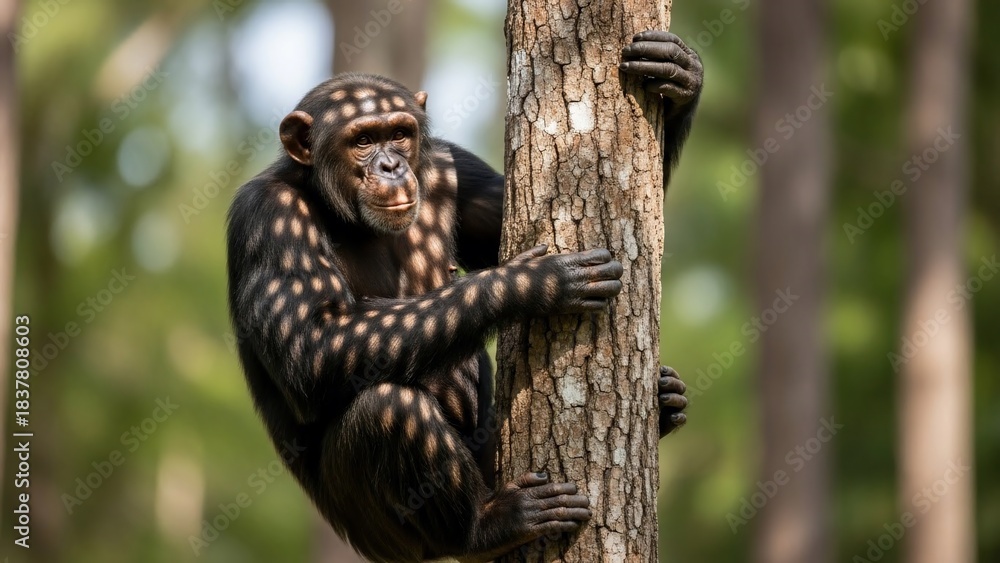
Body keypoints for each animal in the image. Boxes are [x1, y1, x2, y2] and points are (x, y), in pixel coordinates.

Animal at [226, 31, 701, 563]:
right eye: (362, 140)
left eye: (400, 134)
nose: (390, 165)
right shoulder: (268, 216)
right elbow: (311, 342)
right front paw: (532, 281)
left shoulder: (453, 168)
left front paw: (680, 74)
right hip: (388, 537)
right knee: (388, 408)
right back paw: (488, 525)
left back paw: (666, 401)